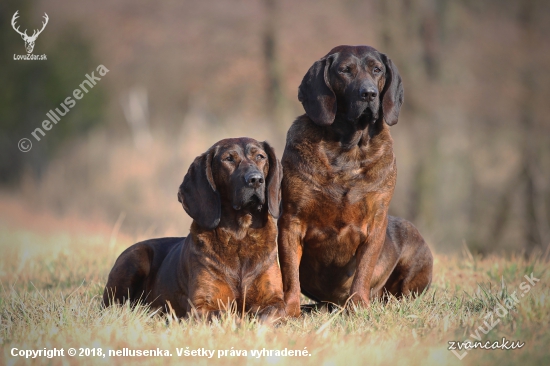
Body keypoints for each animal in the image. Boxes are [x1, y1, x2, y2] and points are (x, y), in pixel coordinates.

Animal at [103, 137, 284, 318]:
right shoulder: (201, 306)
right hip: (134, 258)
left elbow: (266, 315)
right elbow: (228, 314)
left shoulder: (275, 300)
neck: (240, 235)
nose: (256, 179)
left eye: (260, 156)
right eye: (228, 159)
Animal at [280, 45, 436, 316]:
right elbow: (290, 275)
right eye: (345, 70)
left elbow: (364, 269)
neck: (348, 149)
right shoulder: (291, 221)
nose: (369, 93)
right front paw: (288, 310)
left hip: (412, 244)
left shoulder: (376, 222)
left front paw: (359, 306)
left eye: (377, 69)